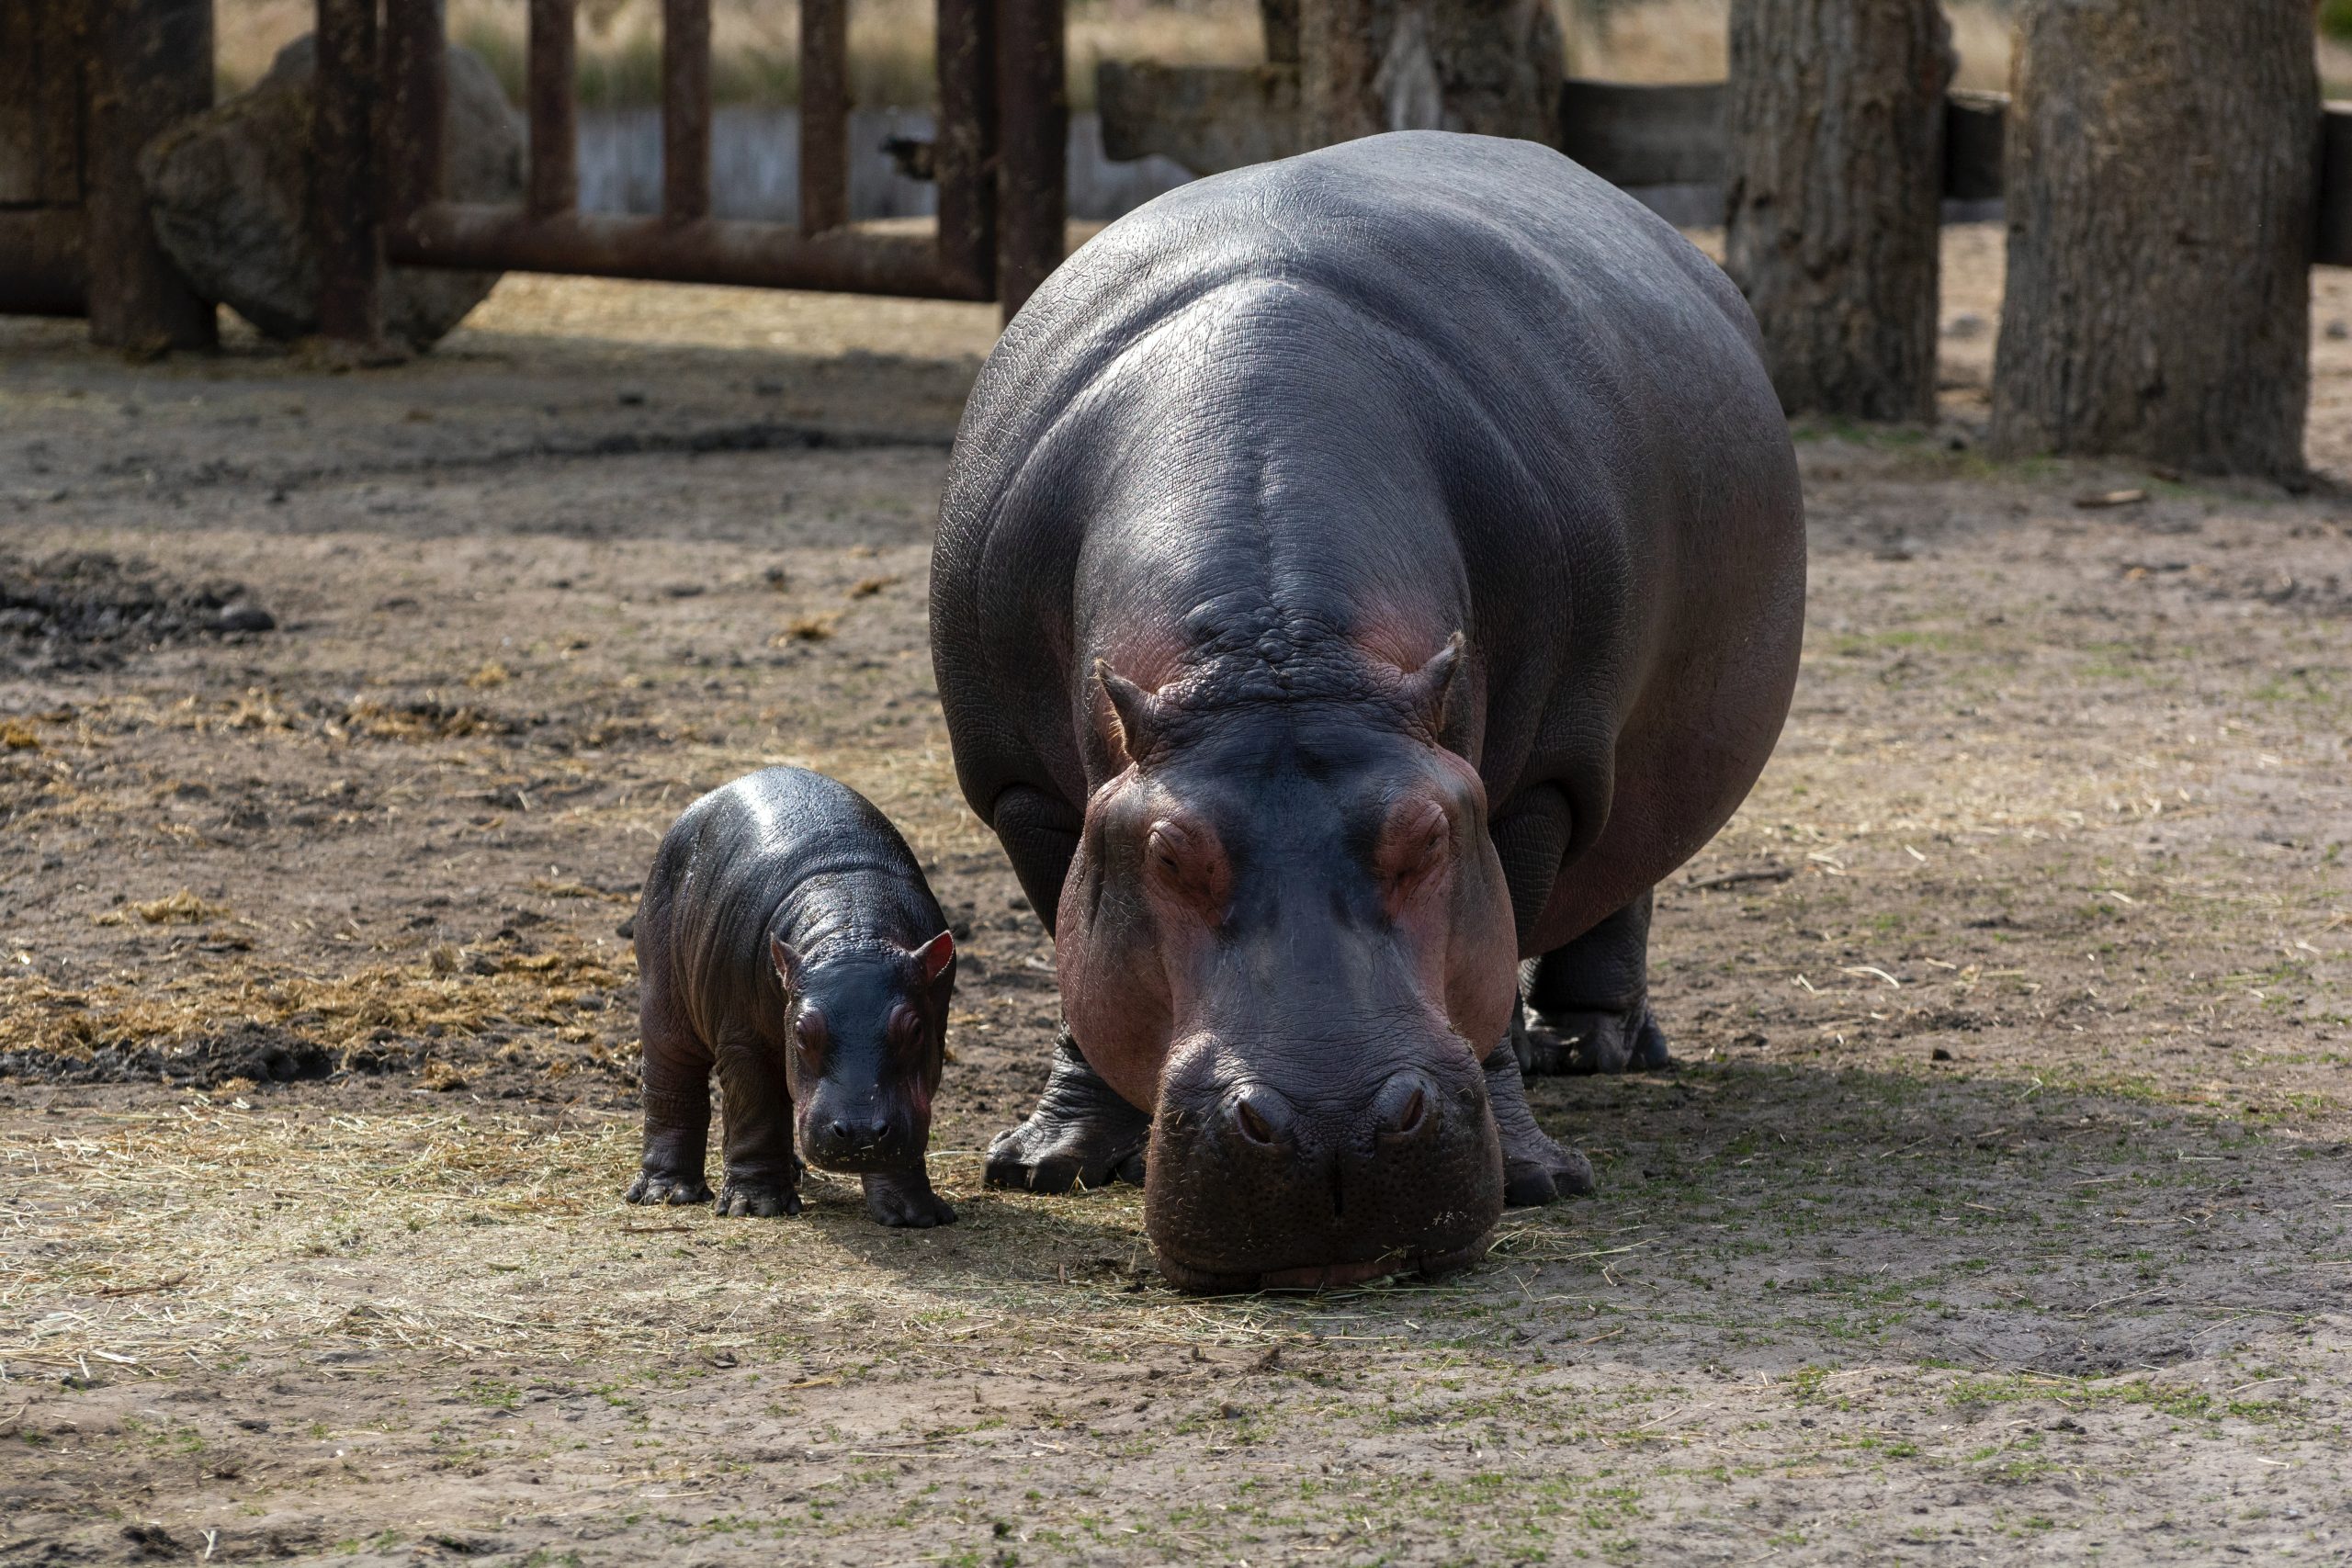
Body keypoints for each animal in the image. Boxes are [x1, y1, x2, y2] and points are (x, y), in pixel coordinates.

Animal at [625, 766, 964, 1232]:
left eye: (914, 1030)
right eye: (803, 1032)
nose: (860, 1131)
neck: (853, 923)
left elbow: (906, 1123)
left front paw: (916, 1214)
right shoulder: (744, 1040)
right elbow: (756, 1111)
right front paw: (756, 1206)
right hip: (664, 1001)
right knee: (672, 1084)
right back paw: (667, 1192)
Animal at [926, 131, 1806, 1288]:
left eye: (1427, 836)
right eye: (1166, 854)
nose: (1330, 1128)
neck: (1280, 654)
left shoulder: (1540, 782)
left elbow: (1500, 948)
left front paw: (1535, 1177)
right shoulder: (1022, 786)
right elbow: (1073, 953)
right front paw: (1047, 1162)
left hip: (1627, 749)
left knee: (1626, 873)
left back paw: (1586, 1049)